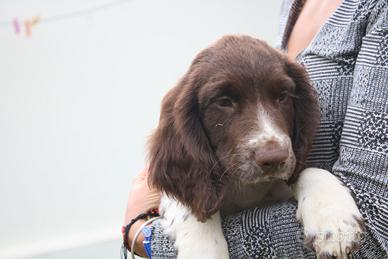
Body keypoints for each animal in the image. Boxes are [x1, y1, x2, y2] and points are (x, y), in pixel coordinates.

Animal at [148, 36, 364, 259]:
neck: (247, 188)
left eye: (283, 96)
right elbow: (194, 207)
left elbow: (308, 171)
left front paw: (335, 220)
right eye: (223, 102)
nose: (274, 158)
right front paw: (204, 248)